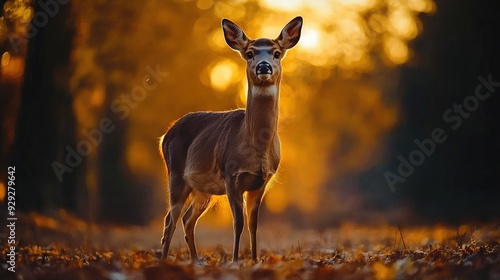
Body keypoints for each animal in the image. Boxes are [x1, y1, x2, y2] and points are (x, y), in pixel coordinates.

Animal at [160, 17, 302, 262]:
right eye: (249, 53)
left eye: (276, 53)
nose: (263, 67)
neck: (256, 149)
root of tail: (165, 136)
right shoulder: (231, 174)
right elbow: (238, 223)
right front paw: (235, 261)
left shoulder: (262, 181)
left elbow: (254, 224)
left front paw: (254, 260)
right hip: (176, 174)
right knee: (170, 221)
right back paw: (162, 261)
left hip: (202, 190)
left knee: (187, 219)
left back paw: (196, 260)